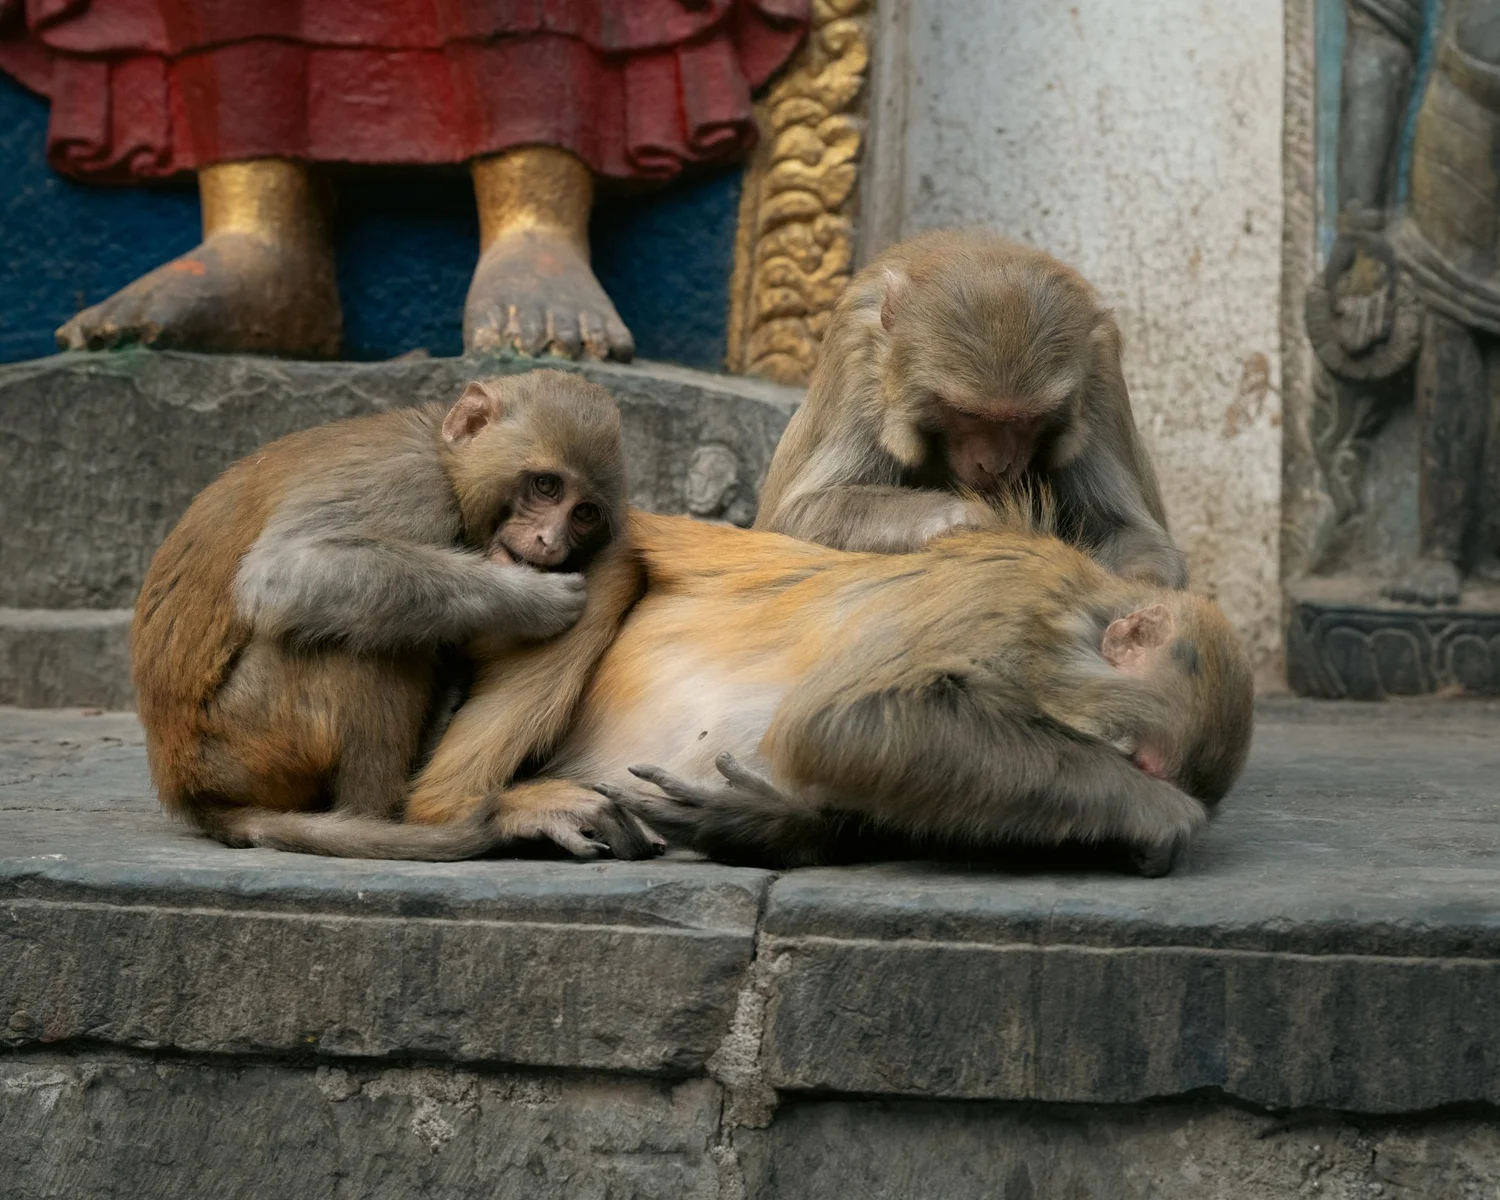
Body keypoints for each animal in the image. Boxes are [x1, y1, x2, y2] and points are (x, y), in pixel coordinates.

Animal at [131, 369, 656, 861]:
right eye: (546, 485)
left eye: (583, 513)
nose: (550, 542)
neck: (448, 467)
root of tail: (185, 787)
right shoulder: (411, 488)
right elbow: (283, 573)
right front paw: (532, 599)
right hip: (246, 739)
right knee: (348, 641)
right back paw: (393, 817)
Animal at [440, 509, 1253, 877]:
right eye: (1138, 764)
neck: (1075, 616)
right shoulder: (1006, 606)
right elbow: (838, 722)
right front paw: (1156, 816)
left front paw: (763, 824)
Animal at [754, 228, 1188, 588]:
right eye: (965, 413)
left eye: (1028, 420)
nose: (994, 465)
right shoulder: (860, 362)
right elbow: (799, 516)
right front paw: (969, 524)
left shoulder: (1100, 378)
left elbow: (1130, 532)